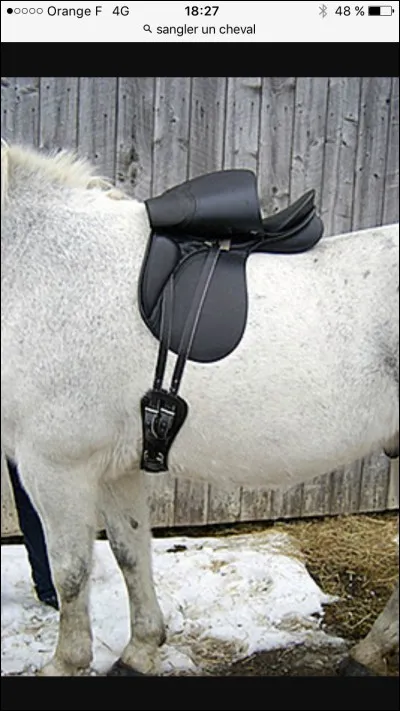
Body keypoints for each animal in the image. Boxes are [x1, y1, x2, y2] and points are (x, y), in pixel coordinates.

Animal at [1, 141, 398, 677]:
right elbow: (131, 552)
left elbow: (70, 571)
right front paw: (141, 649)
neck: (42, 264)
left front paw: (66, 663)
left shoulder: (56, 466)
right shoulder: (116, 467)